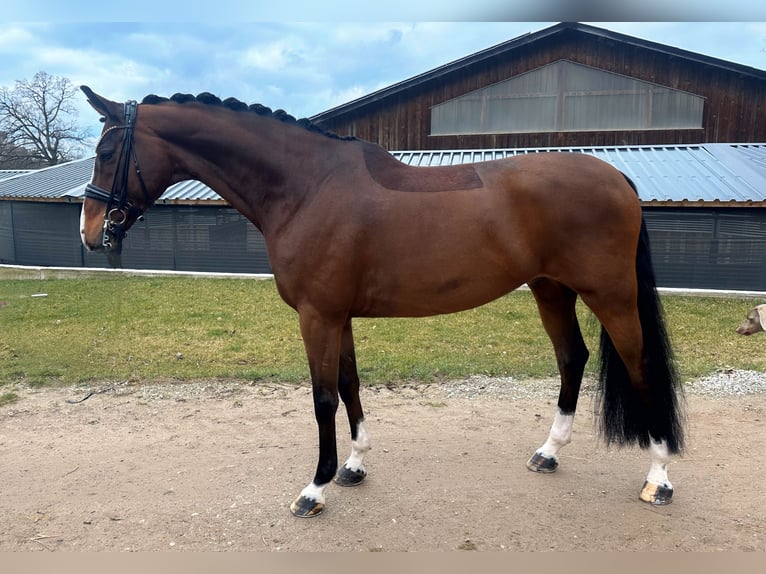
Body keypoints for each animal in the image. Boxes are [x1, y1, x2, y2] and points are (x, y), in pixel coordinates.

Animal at [78, 86, 685, 518]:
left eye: (107, 151)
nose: (89, 233)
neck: (306, 187)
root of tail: (618, 176)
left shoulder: (318, 317)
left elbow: (323, 397)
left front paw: (315, 488)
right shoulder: (337, 316)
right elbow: (349, 385)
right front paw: (353, 466)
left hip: (610, 296)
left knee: (638, 365)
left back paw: (658, 477)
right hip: (549, 289)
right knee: (572, 358)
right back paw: (549, 453)